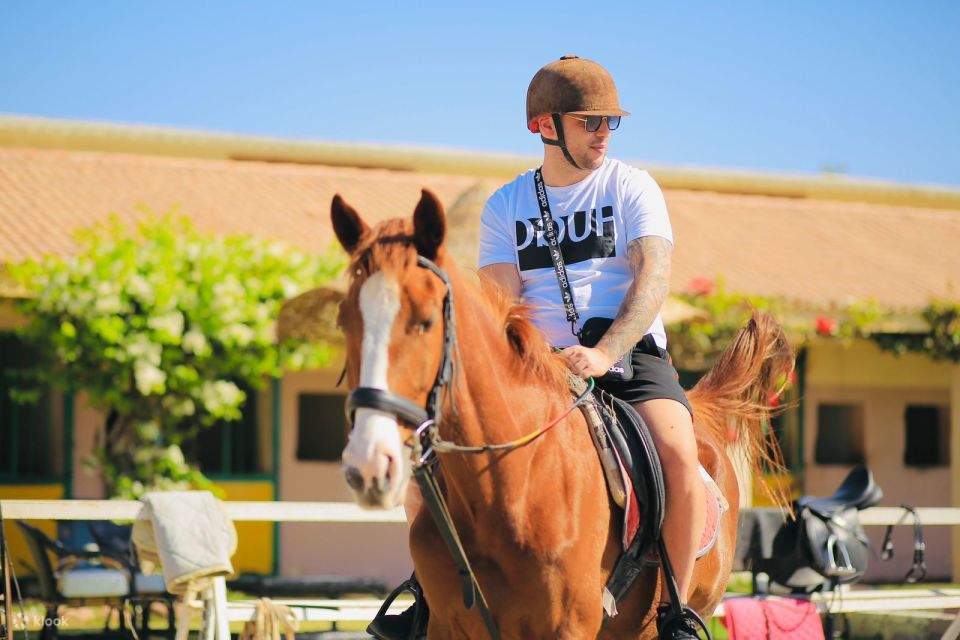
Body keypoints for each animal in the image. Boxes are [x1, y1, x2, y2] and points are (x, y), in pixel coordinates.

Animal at [329, 189, 793, 639]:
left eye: (425, 322)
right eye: (345, 322)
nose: (368, 464)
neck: (508, 487)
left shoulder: (566, 626)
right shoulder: (449, 627)